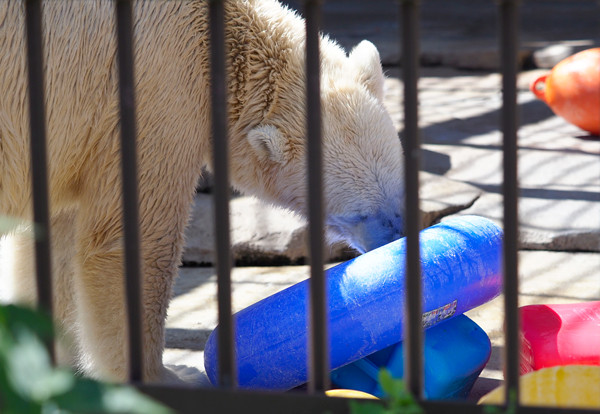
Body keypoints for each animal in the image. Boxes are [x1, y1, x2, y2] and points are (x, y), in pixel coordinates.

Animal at [0, 0, 406, 384]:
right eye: (356, 214)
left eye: (399, 191)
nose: (396, 241)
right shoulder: (157, 88)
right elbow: (134, 242)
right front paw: (171, 375)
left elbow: (54, 238)